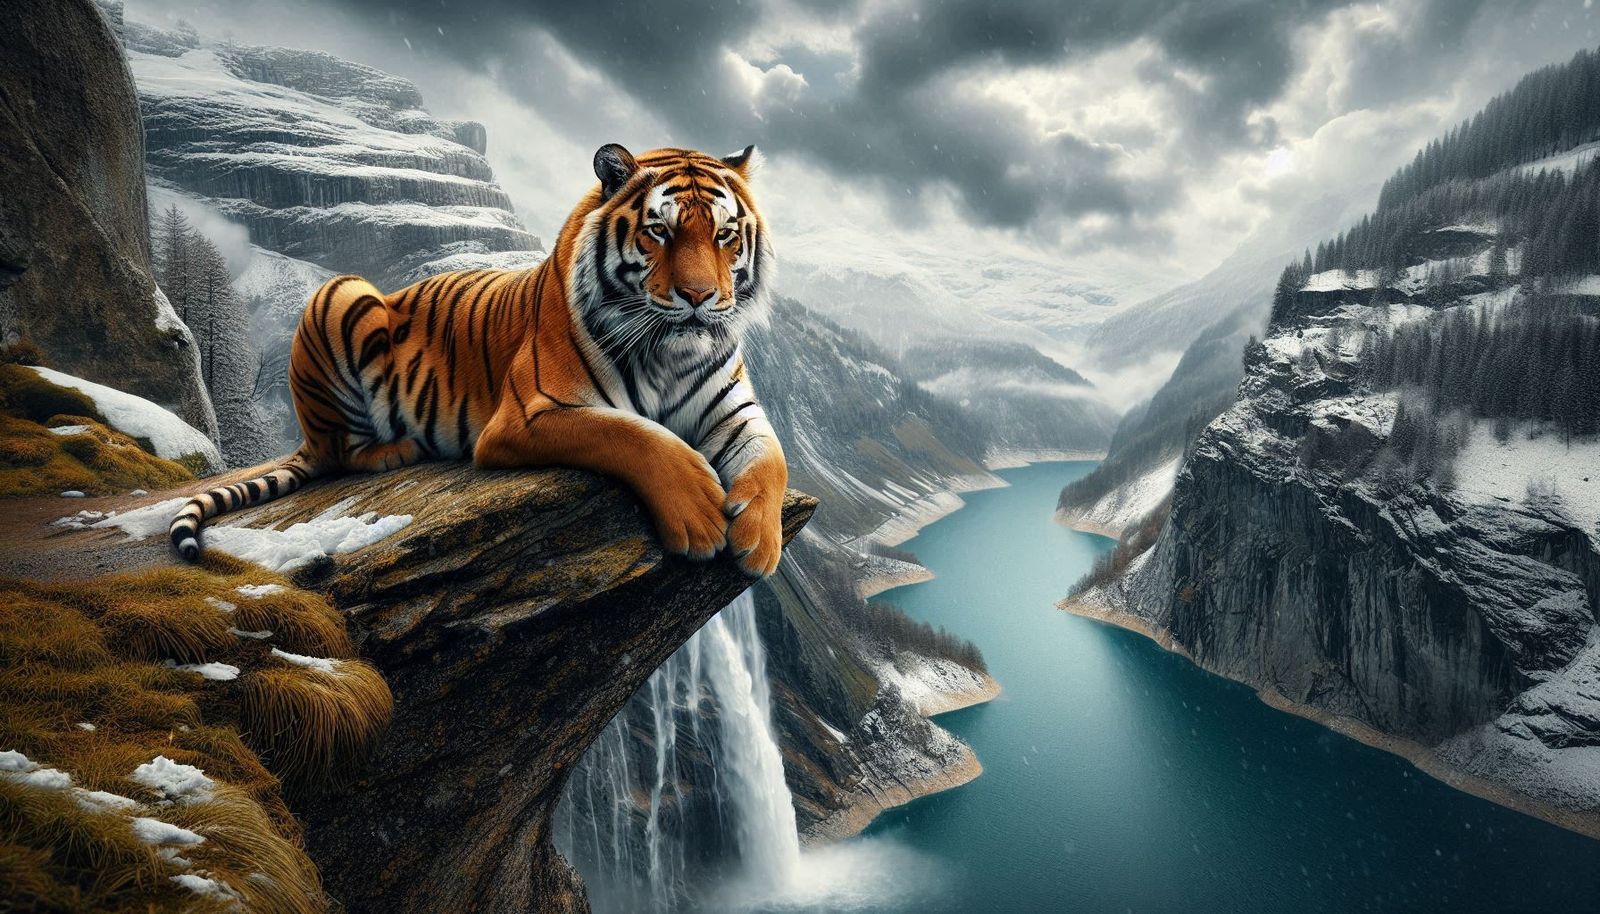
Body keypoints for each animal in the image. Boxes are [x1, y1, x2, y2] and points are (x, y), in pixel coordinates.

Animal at [168, 143, 787, 576]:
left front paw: (759, 541)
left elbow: (770, 458)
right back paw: (396, 450)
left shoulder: (733, 410)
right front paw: (700, 516)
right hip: (343, 293)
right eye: (659, 230)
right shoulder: (529, 415)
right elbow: (633, 435)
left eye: (725, 235)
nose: (700, 297)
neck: (670, 357)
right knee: (338, 451)